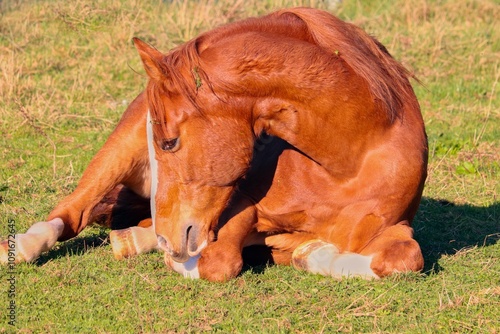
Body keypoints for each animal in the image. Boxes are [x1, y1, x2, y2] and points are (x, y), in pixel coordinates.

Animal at [1, 7, 428, 282]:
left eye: (169, 142)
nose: (168, 240)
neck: (348, 165)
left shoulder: (395, 229)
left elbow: (406, 260)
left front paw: (311, 253)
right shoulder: (241, 206)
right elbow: (218, 263)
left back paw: (134, 238)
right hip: (117, 154)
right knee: (72, 211)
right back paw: (22, 247)